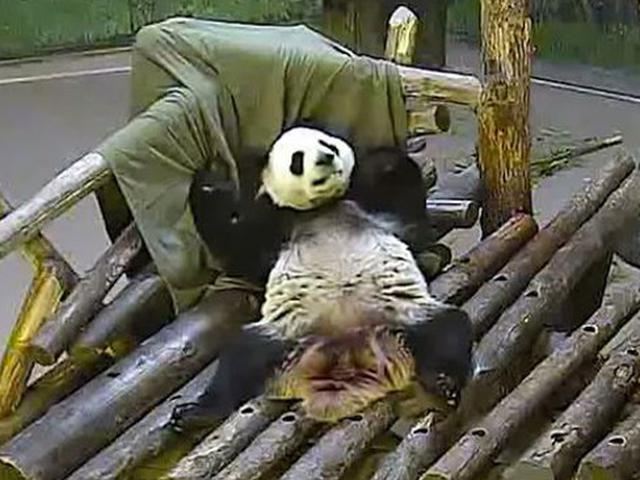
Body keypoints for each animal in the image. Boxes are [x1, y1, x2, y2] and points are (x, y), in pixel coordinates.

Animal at [171, 126, 473, 430]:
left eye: (328, 144)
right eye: (297, 159)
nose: (327, 158)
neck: (322, 207)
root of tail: (349, 360)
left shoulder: (368, 208)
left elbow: (411, 220)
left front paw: (380, 162)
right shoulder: (278, 223)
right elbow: (243, 253)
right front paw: (206, 186)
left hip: (404, 318)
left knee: (449, 329)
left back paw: (444, 382)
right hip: (286, 336)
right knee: (241, 358)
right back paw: (196, 413)